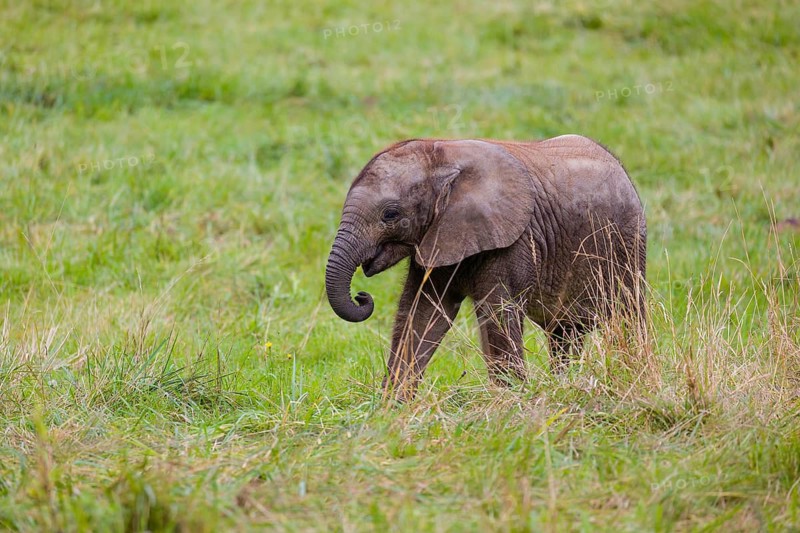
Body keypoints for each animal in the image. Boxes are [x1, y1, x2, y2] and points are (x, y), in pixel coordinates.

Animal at [325, 135, 646, 400]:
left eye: (390, 214)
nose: (362, 296)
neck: (444, 156)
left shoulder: (514, 241)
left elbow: (498, 313)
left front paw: (511, 400)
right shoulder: (438, 238)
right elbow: (422, 313)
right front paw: (392, 405)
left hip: (629, 247)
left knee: (629, 314)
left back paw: (632, 371)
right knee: (565, 332)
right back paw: (565, 382)